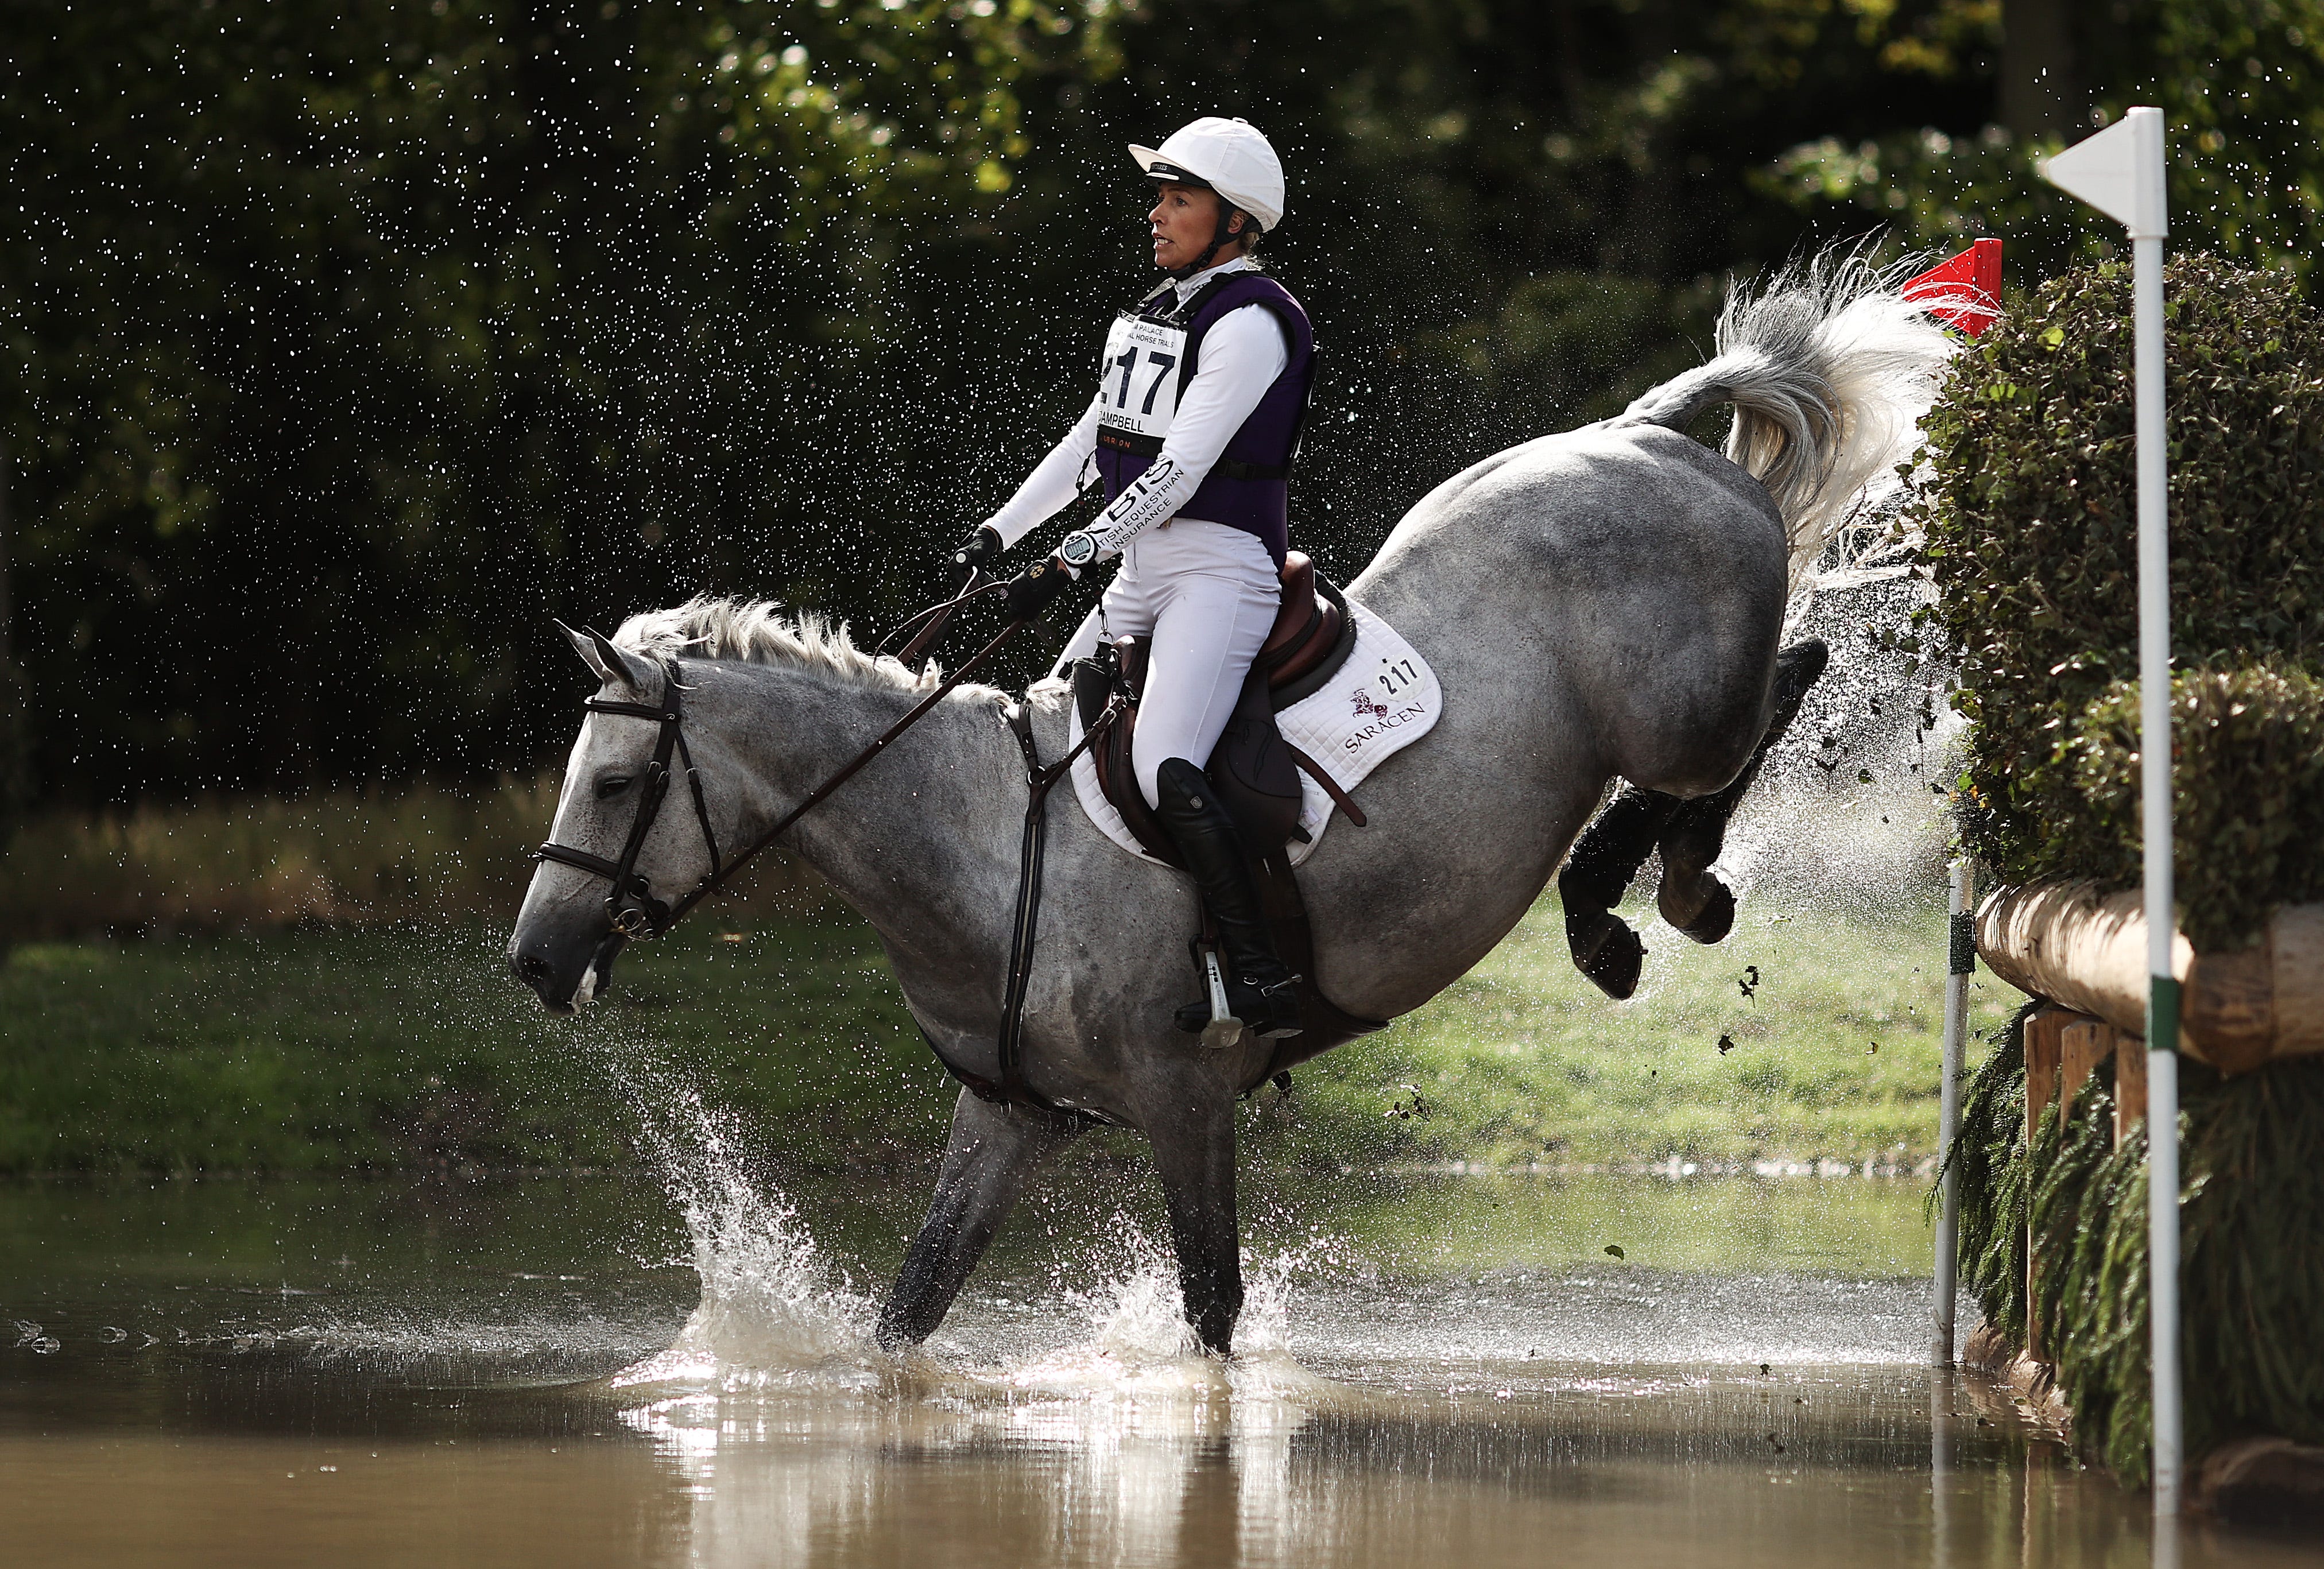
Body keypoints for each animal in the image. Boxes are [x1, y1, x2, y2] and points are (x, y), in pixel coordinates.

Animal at [507, 252, 1961, 1357]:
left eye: (621, 782)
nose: (530, 960)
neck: (980, 851)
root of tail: (1648, 433)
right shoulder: (1003, 1117)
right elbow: (905, 1316)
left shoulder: (1187, 1098)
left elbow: (1210, 1314)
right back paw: (1624, 899)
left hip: (1682, 707)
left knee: (1776, 688)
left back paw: (1651, 891)